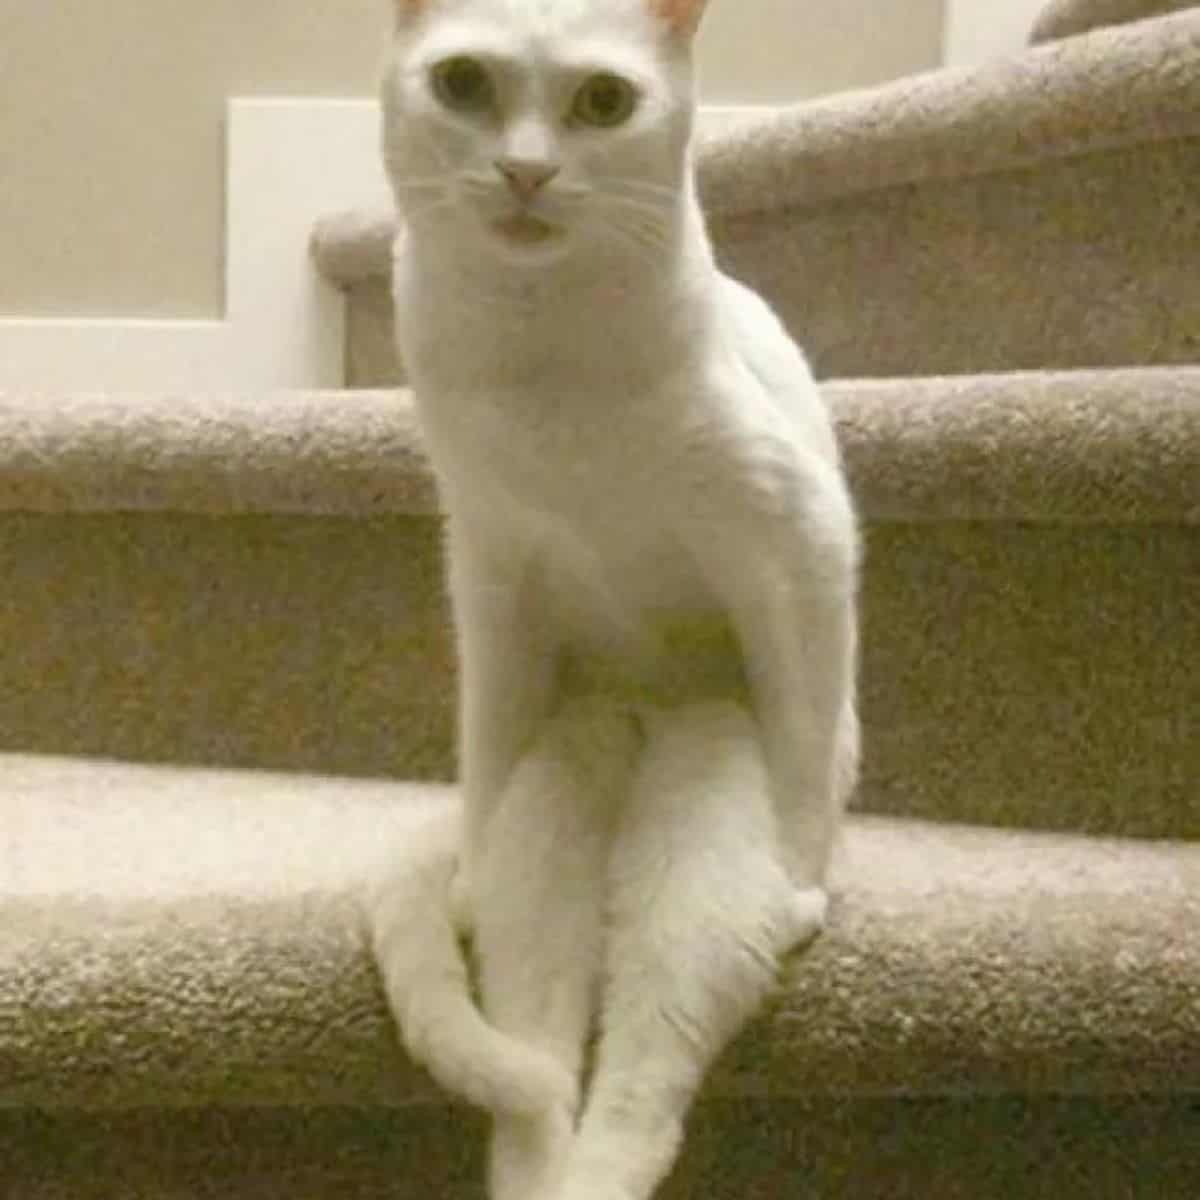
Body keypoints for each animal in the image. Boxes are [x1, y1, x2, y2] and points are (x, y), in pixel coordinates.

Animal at [369, 0, 859, 1195]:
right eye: (463, 82)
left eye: (603, 100)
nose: (525, 171)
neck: (541, 371)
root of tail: (644, 719)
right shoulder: (492, 574)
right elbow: (480, 741)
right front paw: (462, 871)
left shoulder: (801, 550)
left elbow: (804, 773)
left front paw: (806, 889)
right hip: (555, 797)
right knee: (538, 1058)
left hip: (704, 816)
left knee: (644, 1075)